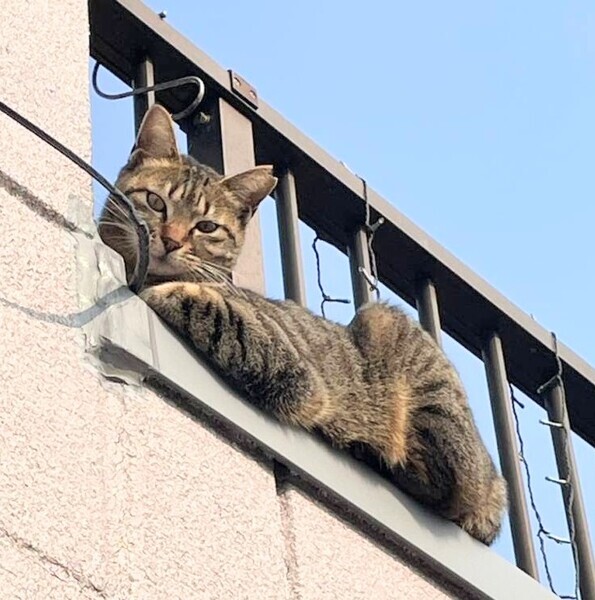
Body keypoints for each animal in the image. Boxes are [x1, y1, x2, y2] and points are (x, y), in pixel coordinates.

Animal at [99, 104, 507, 545]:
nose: (171, 240)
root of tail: (495, 486)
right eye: (155, 202)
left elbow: (205, 307)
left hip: (392, 335)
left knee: (447, 489)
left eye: (206, 227)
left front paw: (157, 289)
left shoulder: (285, 363)